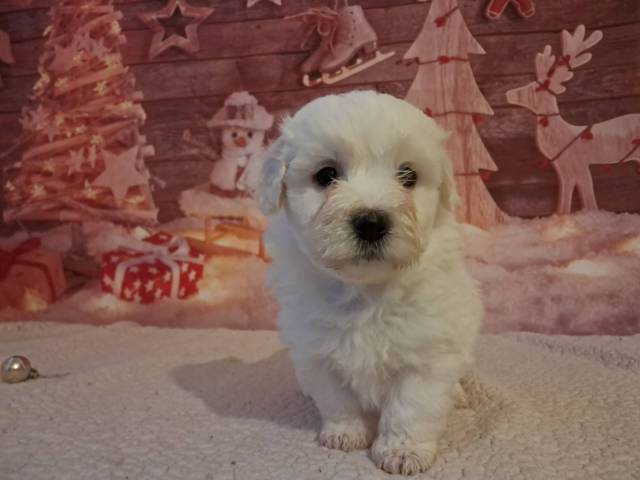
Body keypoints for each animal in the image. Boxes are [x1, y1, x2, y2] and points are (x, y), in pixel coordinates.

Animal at [258, 91, 482, 476]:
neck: (364, 292)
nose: (371, 222)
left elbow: (411, 407)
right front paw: (345, 434)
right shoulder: (317, 353)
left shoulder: (428, 356)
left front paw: (403, 452)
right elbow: (337, 399)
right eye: (326, 175)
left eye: (408, 175)